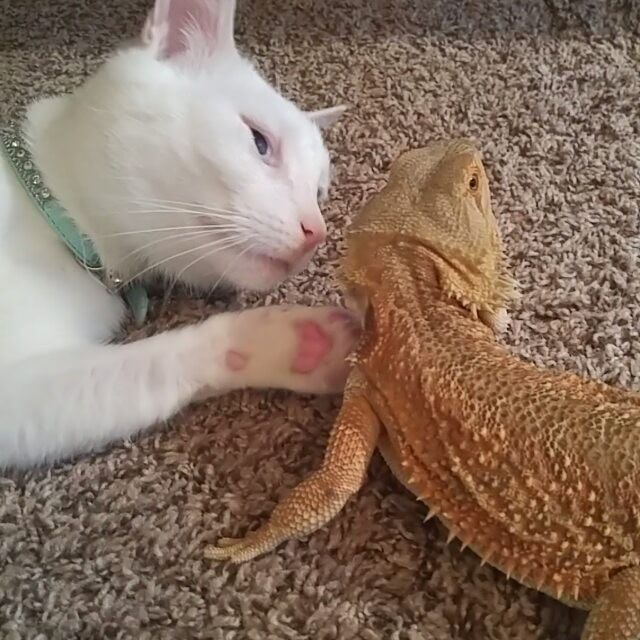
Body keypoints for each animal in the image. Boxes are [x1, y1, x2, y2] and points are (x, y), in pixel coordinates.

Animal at [0, 0, 359, 469]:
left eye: (318, 193)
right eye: (260, 142)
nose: (315, 232)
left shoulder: (27, 395)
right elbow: (144, 364)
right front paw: (290, 340)